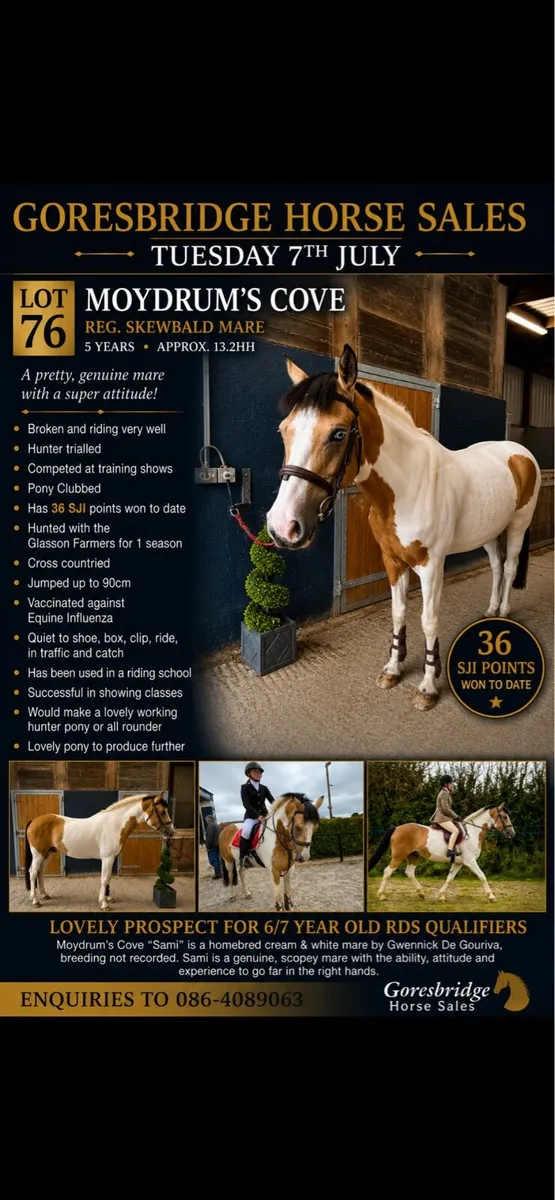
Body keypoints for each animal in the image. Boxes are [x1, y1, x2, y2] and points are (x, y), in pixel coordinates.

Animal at [24, 792, 174, 910]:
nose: (171, 832)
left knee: (40, 872)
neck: (115, 824)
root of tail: (34, 820)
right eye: (162, 812)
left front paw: (107, 898)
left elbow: (108, 878)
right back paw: (35, 901)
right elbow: (104, 878)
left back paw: (44, 895)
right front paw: (104, 904)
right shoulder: (107, 858)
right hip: (38, 854)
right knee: (33, 872)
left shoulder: (111, 858)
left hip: (47, 853)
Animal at [266, 344, 541, 710]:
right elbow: (397, 613)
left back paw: (505, 614)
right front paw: (393, 670)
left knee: (509, 568)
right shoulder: (393, 561)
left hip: (517, 526)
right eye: (284, 430)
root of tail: (519, 452)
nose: (283, 526)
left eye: (338, 433)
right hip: (488, 531)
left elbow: (429, 620)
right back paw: (491, 611)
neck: (410, 485)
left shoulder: (431, 566)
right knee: (496, 567)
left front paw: (427, 687)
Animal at [368, 802, 515, 903]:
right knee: (387, 871)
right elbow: (482, 876)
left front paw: (441, 896)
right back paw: (382, 895)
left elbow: (450, 878)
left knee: (409, 873)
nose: (512, 833)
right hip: (398, 856)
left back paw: (421, 893)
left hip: (413, 856)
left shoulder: (459, 863)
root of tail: (397, 828)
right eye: (504, 816)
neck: (473, 832)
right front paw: (491, 896)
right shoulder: (470, 861)